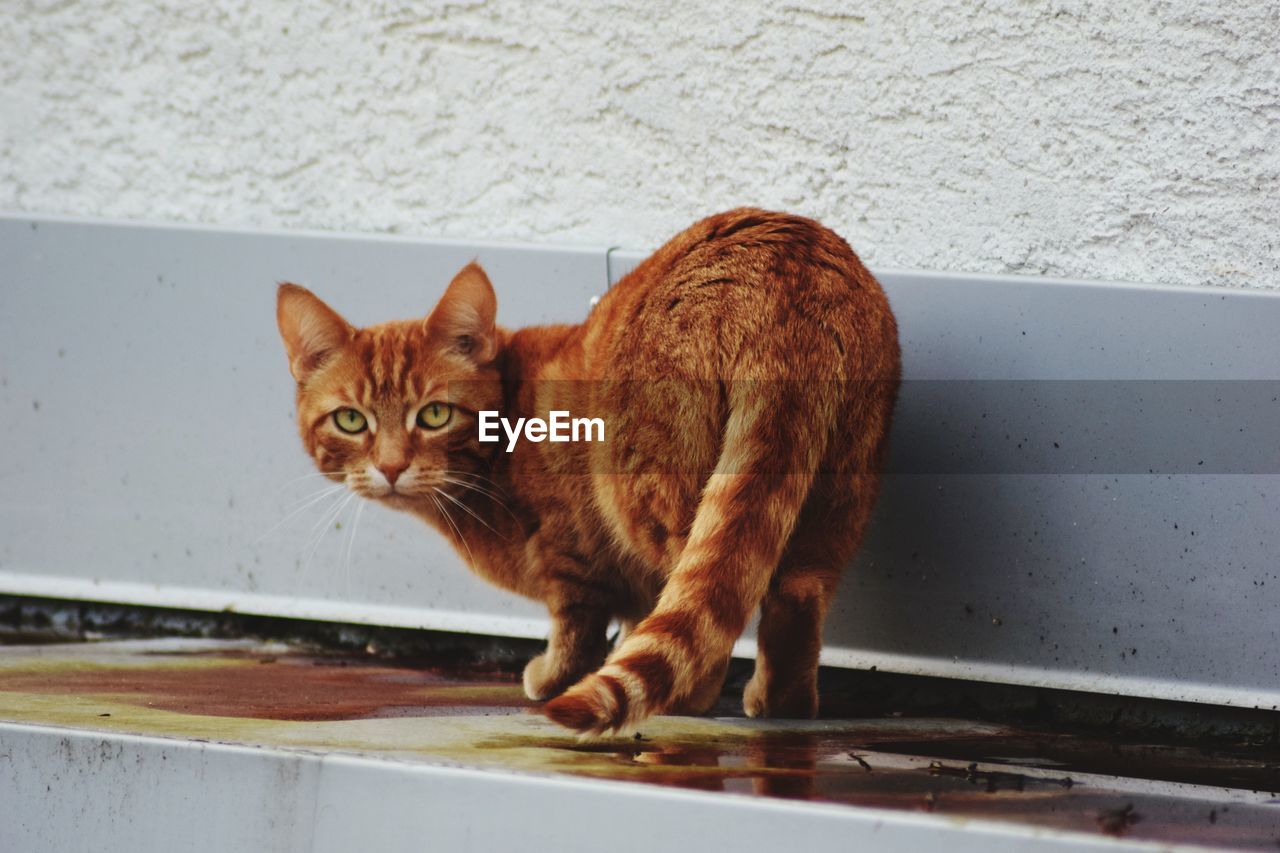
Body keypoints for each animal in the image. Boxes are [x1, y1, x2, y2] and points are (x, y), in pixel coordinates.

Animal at [280, 207, 901, 732]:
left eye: (433, 414)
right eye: (351, 421)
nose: (390, 466)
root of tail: (789, 267)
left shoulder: (568, 554)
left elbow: (579, 627)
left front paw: (555, 675)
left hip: (653, 495)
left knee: (706, 596)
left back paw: (688, 700)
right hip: (834, 499)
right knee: (793, 599)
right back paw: (781, 705)